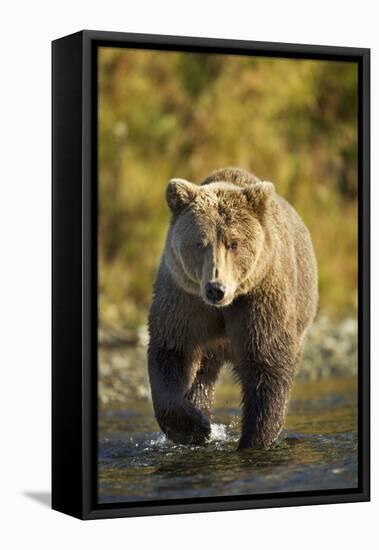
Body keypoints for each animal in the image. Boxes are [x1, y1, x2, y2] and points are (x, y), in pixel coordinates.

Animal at [148, 166, 318, 450]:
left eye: (234, 243)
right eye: (200, 243)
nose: (215, 288)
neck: (224, 306)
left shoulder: (259, 299)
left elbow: (267, 364)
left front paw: (253, 439)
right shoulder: (184, 299)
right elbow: (172, 351)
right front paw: (195, 427)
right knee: (203, 374)